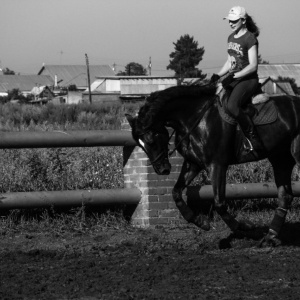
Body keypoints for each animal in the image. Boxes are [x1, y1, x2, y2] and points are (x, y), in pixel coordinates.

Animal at [125, 83, 300, 247]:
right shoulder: (194, 164)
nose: (162, 169)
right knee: (285, 196)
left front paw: (245, 228)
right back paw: (270, 237)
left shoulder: (217, 165)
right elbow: (176, 192)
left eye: (151, 140)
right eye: (140, 145)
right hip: (281, 159)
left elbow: (219, 203)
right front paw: (200, 222)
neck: (193, 118)